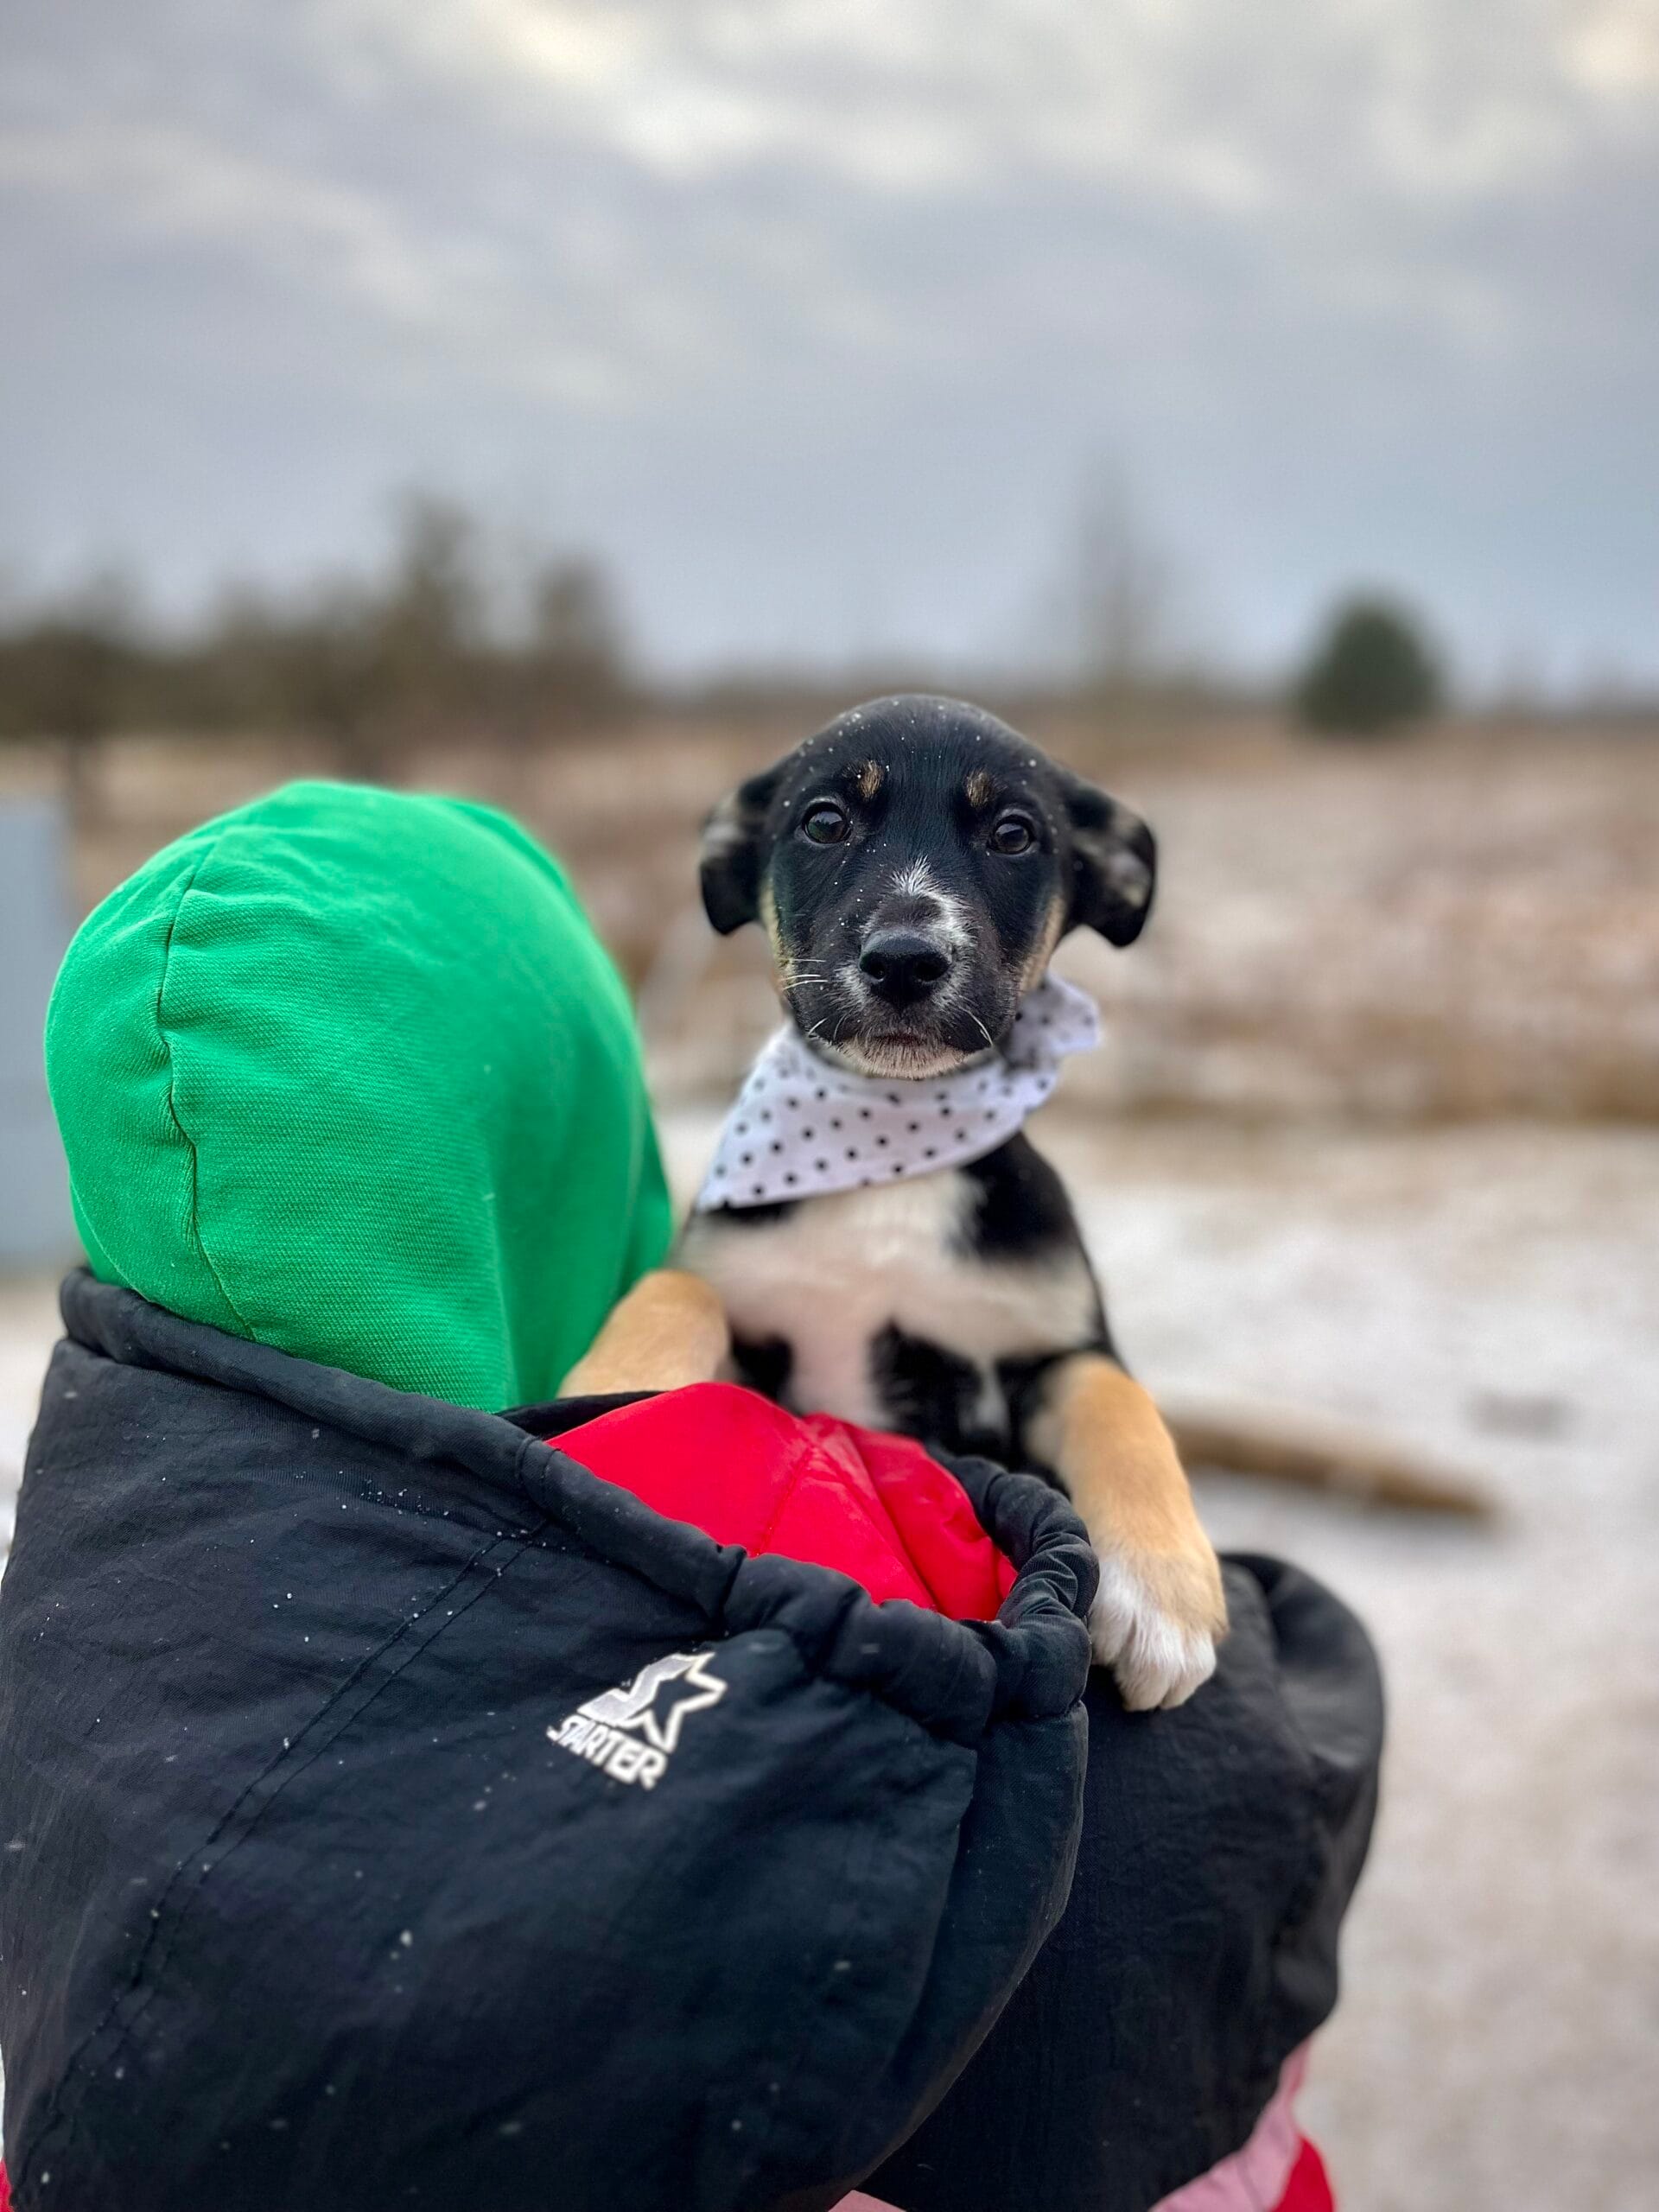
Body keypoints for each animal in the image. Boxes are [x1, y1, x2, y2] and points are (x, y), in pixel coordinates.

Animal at [568, 695, 1226, 1710]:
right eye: (824, 822)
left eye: (1014, 834)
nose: (907, 960)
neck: (890, 1150)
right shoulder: (749, 1313)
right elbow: (680, 1289)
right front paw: (610, 1398)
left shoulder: (1056, 1345)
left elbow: (1119, 1400)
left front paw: (1164, 1592)